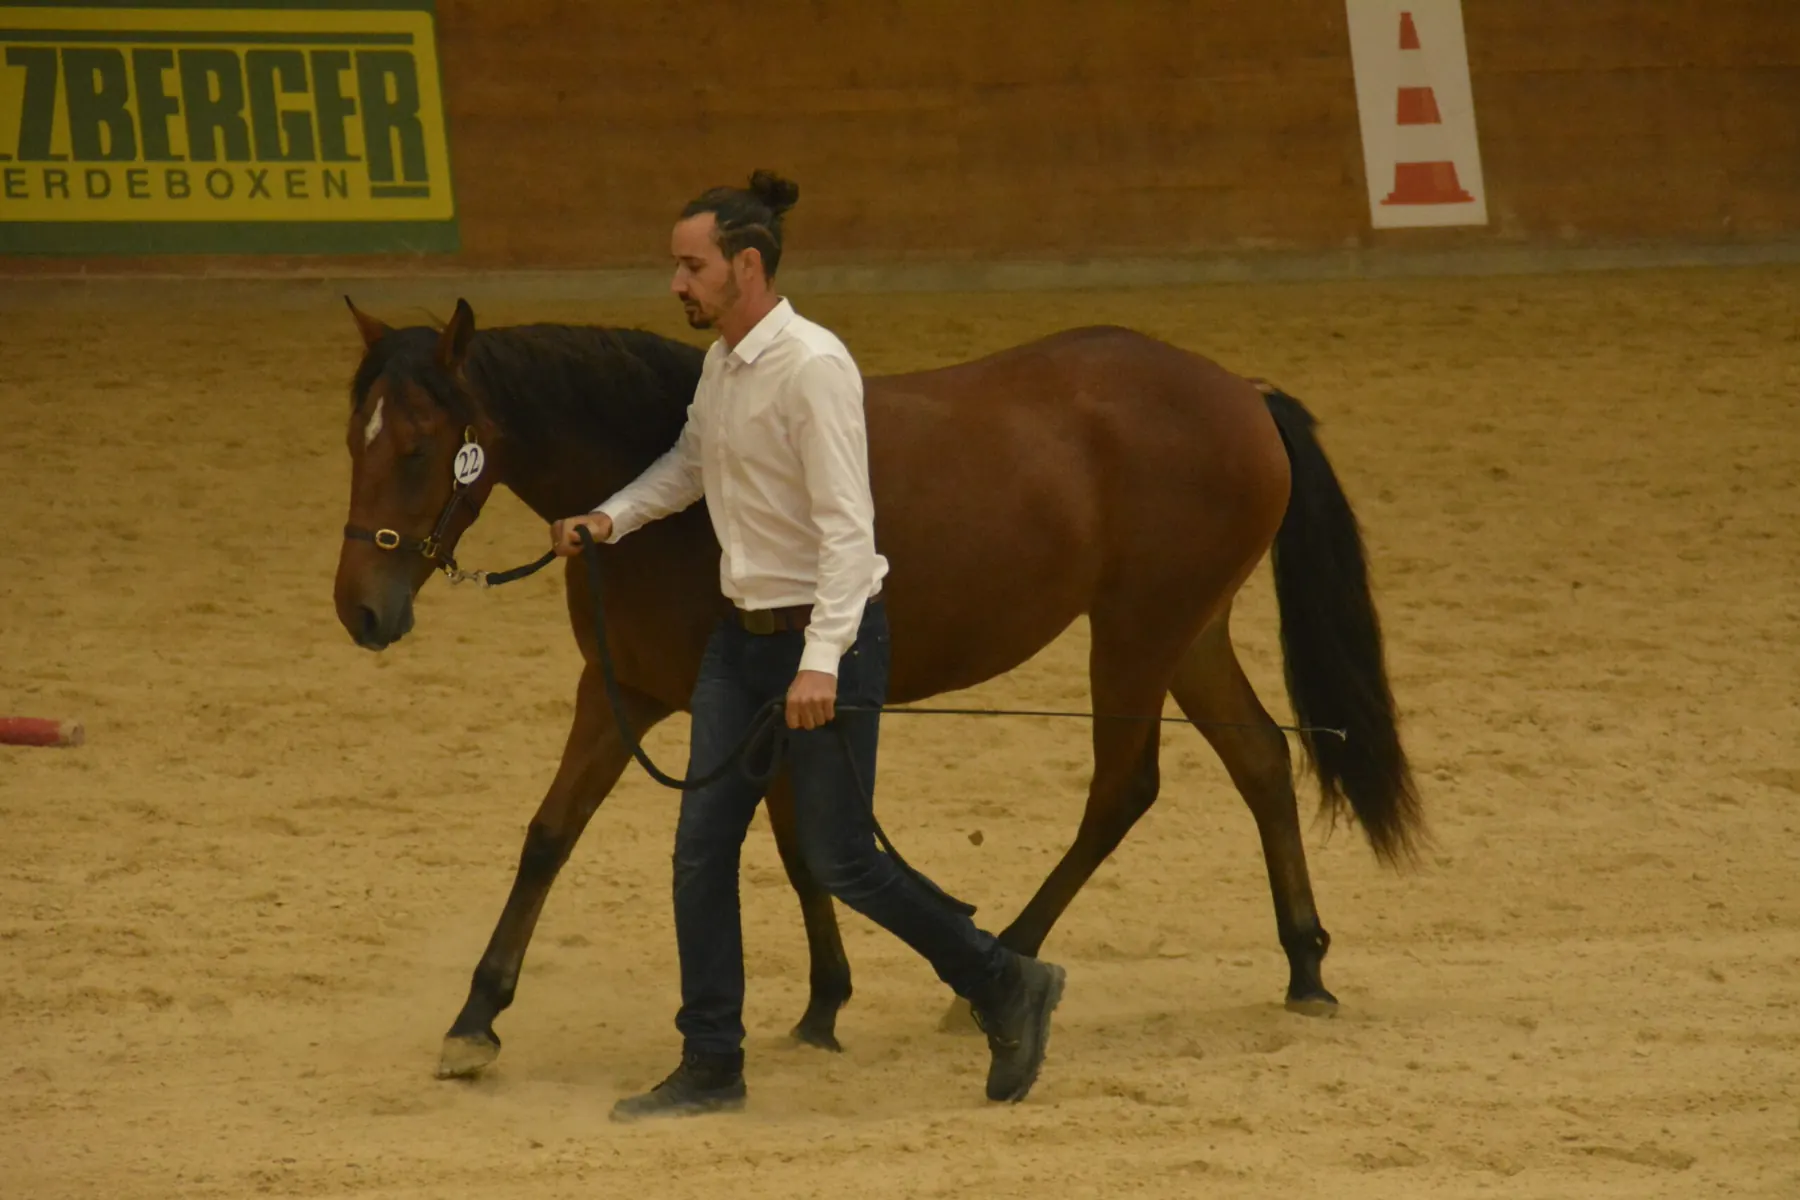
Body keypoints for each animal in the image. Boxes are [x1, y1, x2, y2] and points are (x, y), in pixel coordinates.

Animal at [330, 296, 1424, 1080]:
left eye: (421, 446)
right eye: (354, 440)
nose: (361, 611)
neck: (681, 500)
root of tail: (1242, 391)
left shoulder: (743, 706)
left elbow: (794, 846)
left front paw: (826, 1002)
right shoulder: (625, 691)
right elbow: (559, 836)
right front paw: (477, 1016)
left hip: (1136, 636)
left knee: (1125, 791)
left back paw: (1001, 970)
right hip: (1187, 632)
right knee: (1262, 761)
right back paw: (1306, 966)